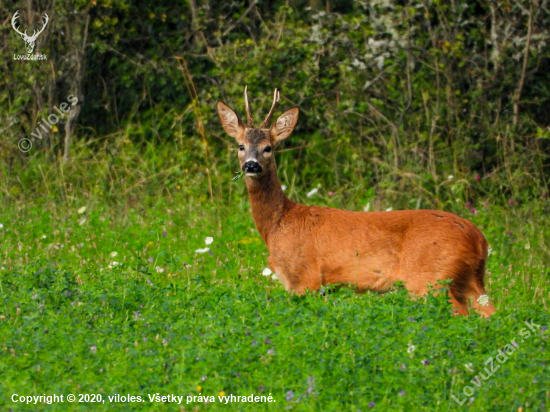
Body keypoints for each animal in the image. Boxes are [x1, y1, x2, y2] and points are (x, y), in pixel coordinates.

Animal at [218, 87, 498, 318]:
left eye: (268, 148)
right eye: (240, 145)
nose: (251, 165)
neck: (278, 223)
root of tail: (479, 240)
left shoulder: (304, 277)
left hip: (430, 277)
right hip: (470, 280)